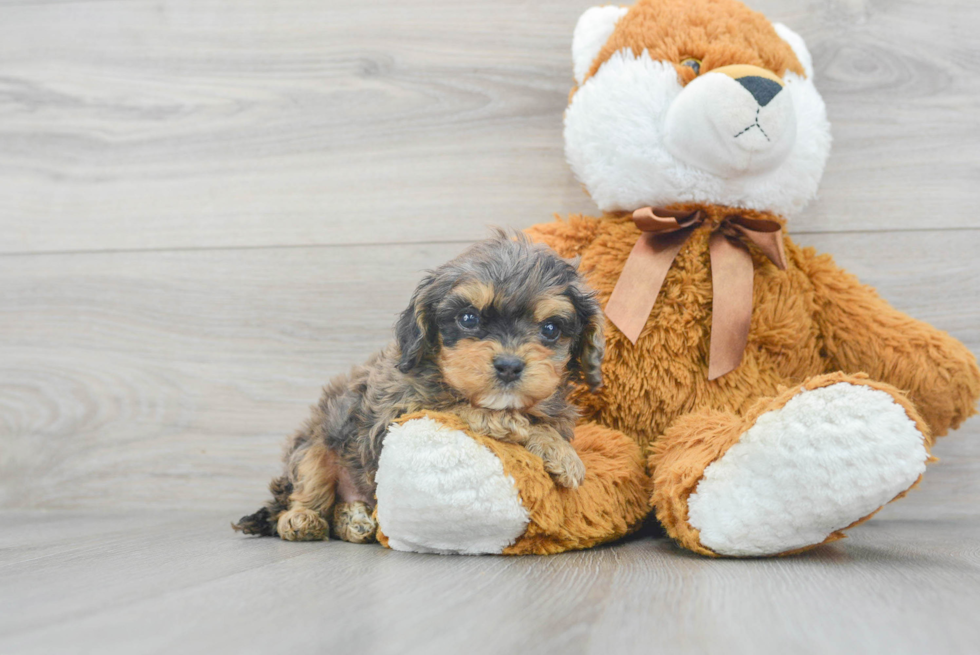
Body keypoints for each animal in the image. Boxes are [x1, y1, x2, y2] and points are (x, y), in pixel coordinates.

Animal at [236, 233, 604, 540]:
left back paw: (357, 522)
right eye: (468, 319)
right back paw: (303, 520)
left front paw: (557, 447)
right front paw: (520, 428)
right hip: (313, 448)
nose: (509, 366)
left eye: (551, 329)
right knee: (305, 493)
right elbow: (457, 407)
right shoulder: (394, 414)